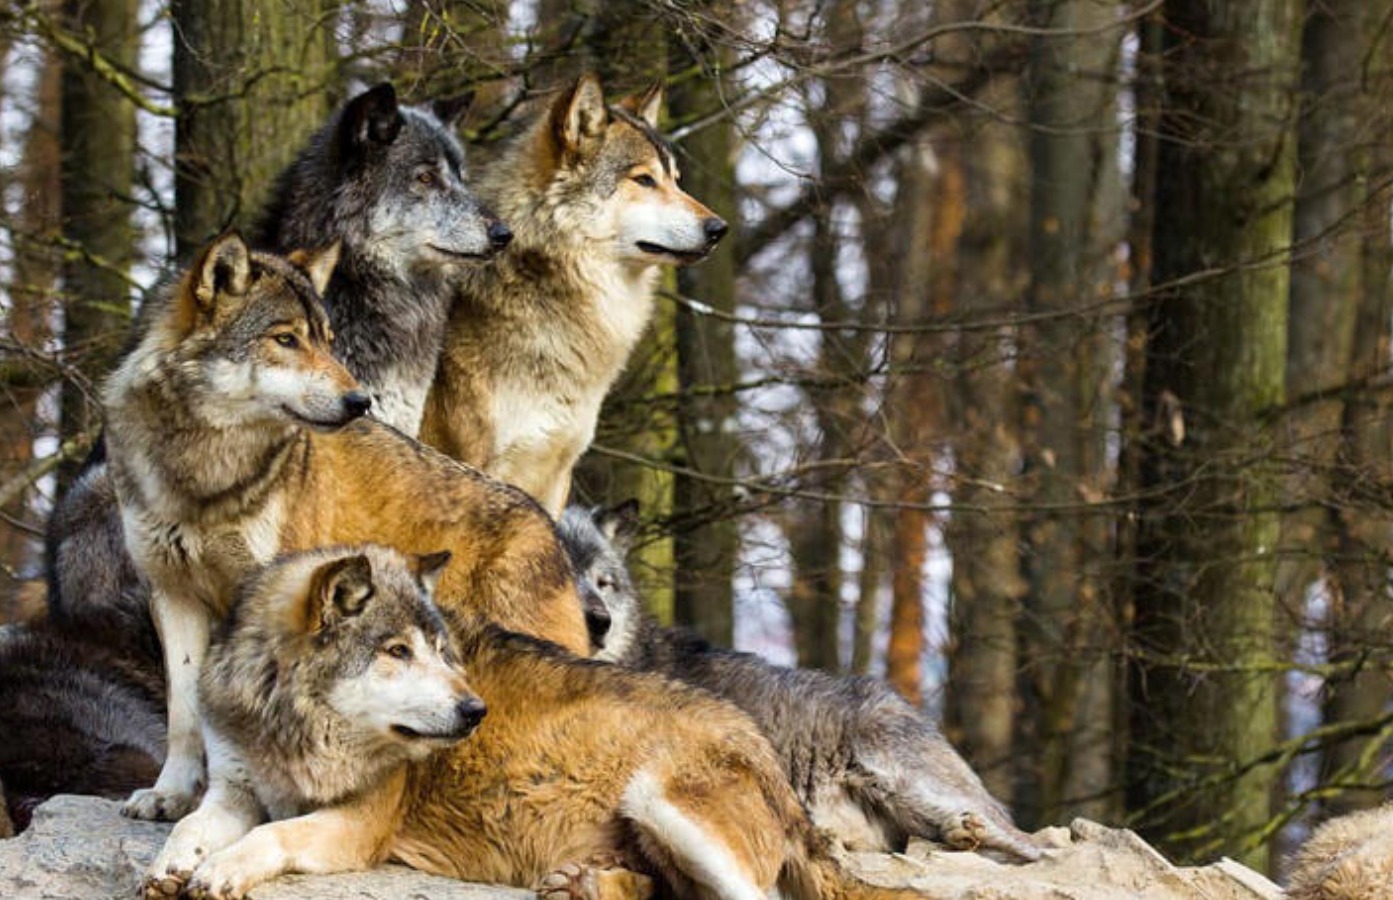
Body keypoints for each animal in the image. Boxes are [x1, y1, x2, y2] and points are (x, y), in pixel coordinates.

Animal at [104, 233, 588, 823]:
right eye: (286, 339)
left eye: (328, 341)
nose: (360, 401)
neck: (205, 474)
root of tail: (549, 525)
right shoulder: (172, 594)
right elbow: (183, 712)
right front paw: (170, 794)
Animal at [145, 543, 926, 900]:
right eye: (397, 652)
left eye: (443, 653)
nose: (473, 711)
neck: (292, 725)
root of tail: (768, 756)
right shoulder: (233, 788)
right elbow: (193, 826)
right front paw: (173, 864)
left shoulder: (358, 824)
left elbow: (273, 835)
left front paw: (219, 870)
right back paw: (585, 884)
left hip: (661, 799)